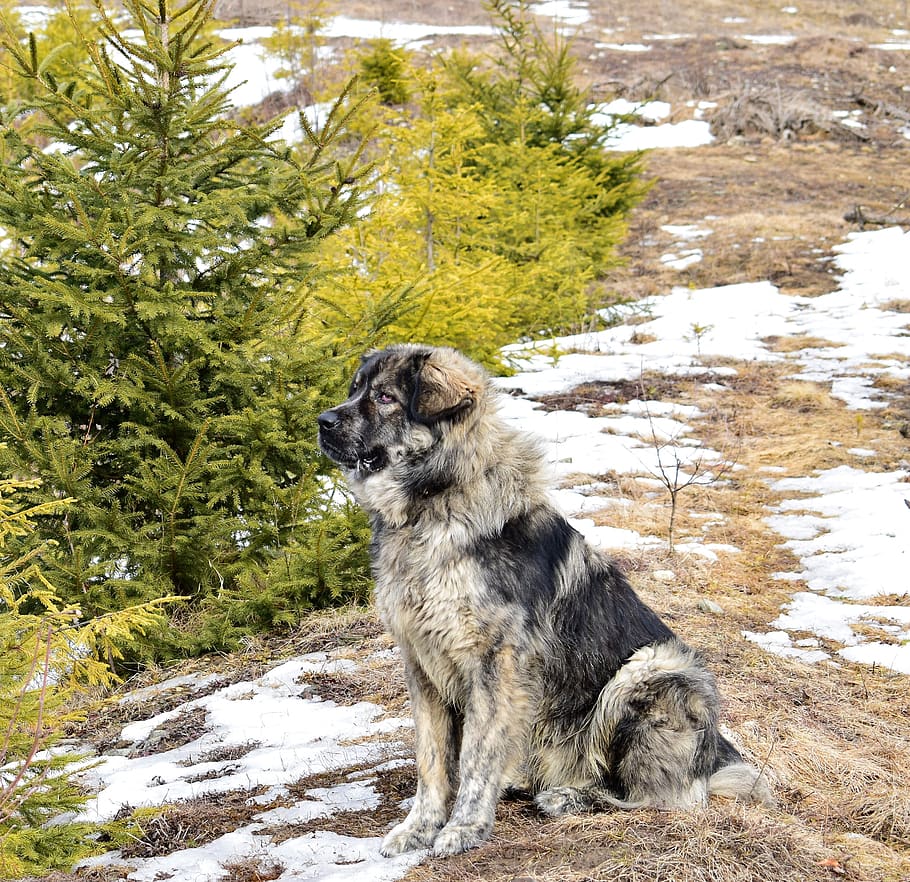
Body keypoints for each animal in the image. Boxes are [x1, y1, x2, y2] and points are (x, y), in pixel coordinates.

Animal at [318, 342, 772, 852]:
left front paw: (464, 827)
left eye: (385, 398)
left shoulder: (494, 667)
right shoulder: (422, 663)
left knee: (666, 797)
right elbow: (431, 759)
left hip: (651, 670)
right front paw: (419, 827)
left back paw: (570, 797)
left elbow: (476, 756)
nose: (322, 420)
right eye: (354, 389)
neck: (434, 504)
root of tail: (713, 756)